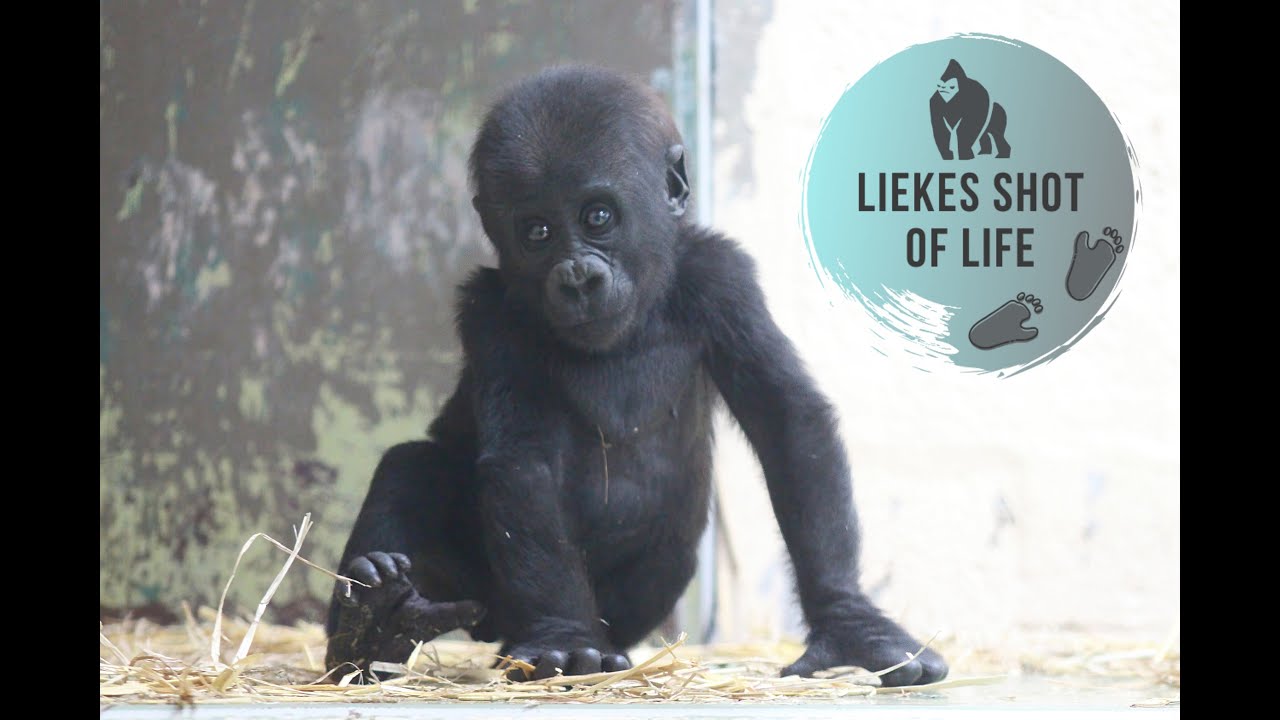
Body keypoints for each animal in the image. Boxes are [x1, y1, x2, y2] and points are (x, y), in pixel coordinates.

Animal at [326, 65, 948, 687]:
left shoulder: (722, 278)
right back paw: (372, 628)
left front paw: (850, 622)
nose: (577, 278)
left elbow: (787, 422)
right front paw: (564, 637)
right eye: (536, 231)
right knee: (411, 465)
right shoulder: (490, 314)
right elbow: (523, 460)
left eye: (597, 216)